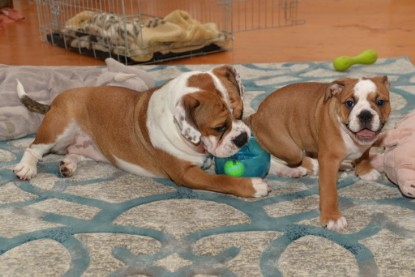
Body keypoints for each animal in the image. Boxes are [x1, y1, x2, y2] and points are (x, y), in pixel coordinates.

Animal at [13, 65, 270, 197]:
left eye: (241, 113)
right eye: (219, 128)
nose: (242, 137)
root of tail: (55, 100)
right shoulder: (185, 174)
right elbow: (221, 180)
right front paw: (254, 186)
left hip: (87, 145)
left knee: (74, 152)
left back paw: (68, 165)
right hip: (59, 127)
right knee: (34, 148)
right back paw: (26, 168)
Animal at [249, 76, 392, 230]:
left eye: (380, 102)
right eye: (350, 103)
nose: (365, 114)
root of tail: (256, 114)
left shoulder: (365, 144)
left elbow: (364, 155)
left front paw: (365, 170)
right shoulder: (329, 160)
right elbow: (329, 192)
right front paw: (332, 217)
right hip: (289, 149)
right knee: (281, 157)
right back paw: (306, 167)